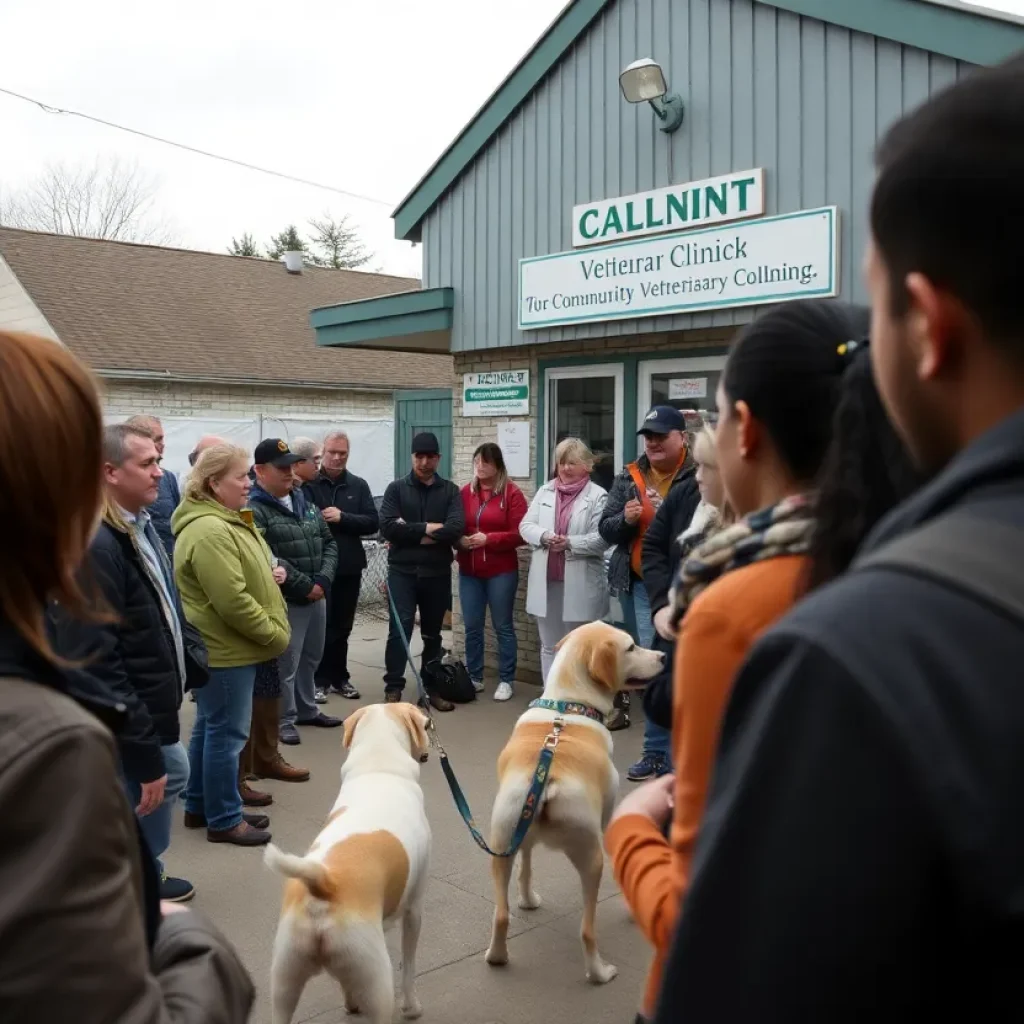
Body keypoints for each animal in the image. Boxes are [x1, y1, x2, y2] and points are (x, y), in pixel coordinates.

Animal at [264, 700, 432, 1024]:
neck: (379, 767)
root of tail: (323, 884)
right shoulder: (415, 909)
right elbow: (410, 966)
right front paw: (413, 1007)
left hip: (283, 983)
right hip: (377, 982)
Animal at [485, 622, 663, 983]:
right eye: (632, 646)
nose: (664, 656)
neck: (567, 704)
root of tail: (550, 784)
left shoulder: (523, 841)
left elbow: (527, 867)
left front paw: (527, 899)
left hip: (501, 847)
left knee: (501, 914)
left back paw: (497, 956)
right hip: (591, 858)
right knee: (587, 930)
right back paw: (600, 972)